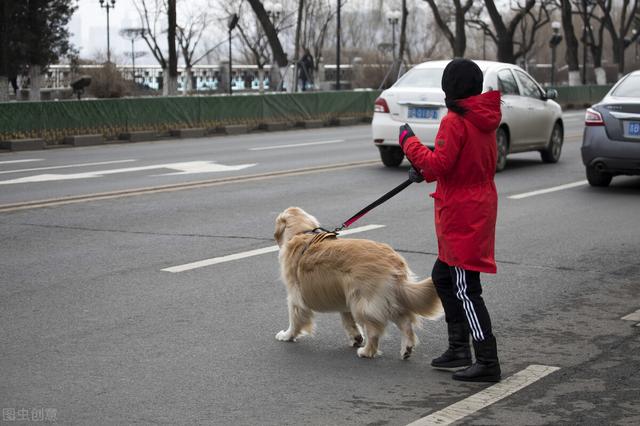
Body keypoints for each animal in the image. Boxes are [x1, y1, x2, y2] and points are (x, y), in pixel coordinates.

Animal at [272, 208, 442, 358]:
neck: (302, 233)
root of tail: (394, 261)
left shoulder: (295, 297)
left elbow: (295, 319)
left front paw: (287, 335)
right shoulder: (343, 297)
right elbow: (348, 321)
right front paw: (356, 337)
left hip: (364, 303)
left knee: (374, 331)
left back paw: (367, 351)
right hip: (387, 299)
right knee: (405, 323)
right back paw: (406, 348)